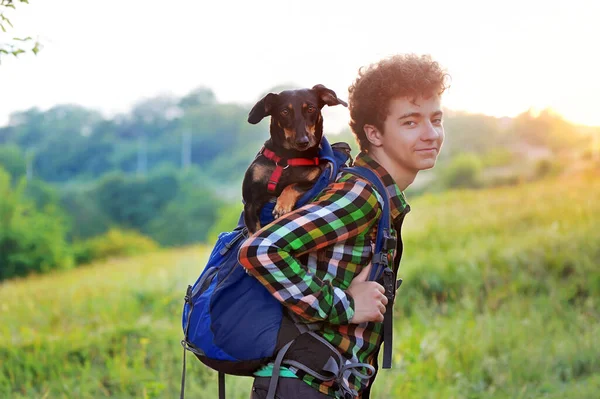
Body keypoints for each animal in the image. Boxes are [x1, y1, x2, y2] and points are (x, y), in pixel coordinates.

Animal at [243, 85, 346, 234]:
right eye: (285, 111)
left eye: (311, 109)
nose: (303, 142)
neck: (287, 159)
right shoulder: (250, 203)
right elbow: (254, 232)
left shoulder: (316, 180)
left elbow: (294, 185)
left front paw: (282, 205)